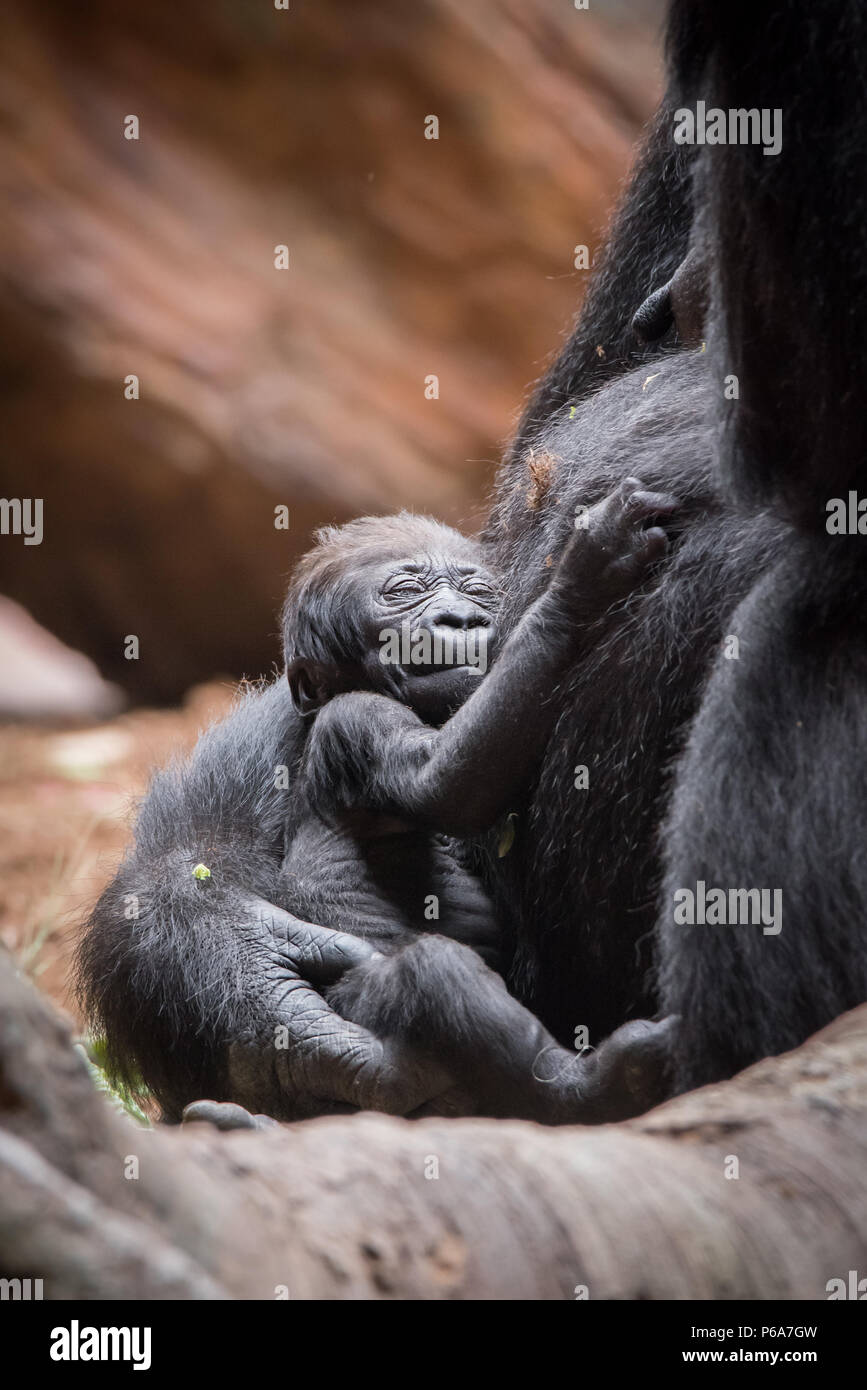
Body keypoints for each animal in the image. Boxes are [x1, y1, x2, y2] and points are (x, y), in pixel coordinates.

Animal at [194, 478, 678, 1128]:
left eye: (478, 591)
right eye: (404, 592)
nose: (462, 617)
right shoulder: (358, 724)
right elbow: (444, 783)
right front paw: (583, 578)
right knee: (433, 975)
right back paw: (593, 1087)